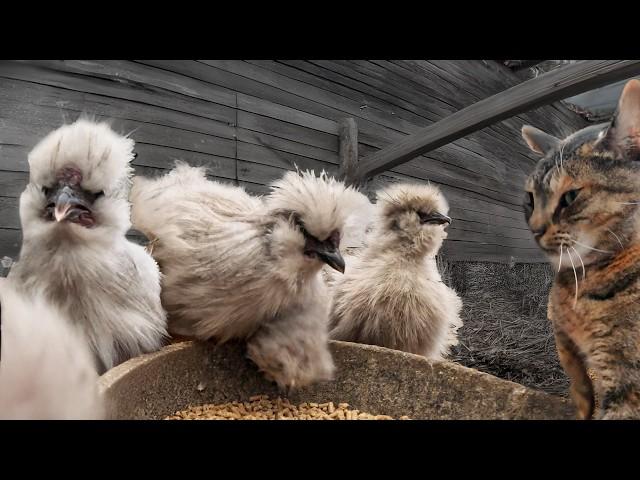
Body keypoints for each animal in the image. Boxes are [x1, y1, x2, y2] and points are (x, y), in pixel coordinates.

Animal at [520, 79, 640, 420]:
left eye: (570, 197)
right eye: (530, 199)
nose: (535, 229)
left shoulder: (625, 380)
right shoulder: (564, 339)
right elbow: (578, 382)